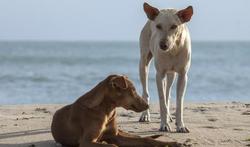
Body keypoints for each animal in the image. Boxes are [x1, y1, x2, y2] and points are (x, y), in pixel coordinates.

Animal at [51, 75, 182, 146]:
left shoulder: (115, 136)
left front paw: (172, 143)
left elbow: (146, 140)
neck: (107, 110)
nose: (148, 105)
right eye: (133, 90)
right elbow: (112, 145)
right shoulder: (86, 141)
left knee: (141, 137)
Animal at [139, 2, 193, 133]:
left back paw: (170, 117)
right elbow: (162, 100)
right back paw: (145, 115)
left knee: (168, 91)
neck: (173, 50)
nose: (163, 45)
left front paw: (181, 125)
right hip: (143, 62)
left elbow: (179, 102)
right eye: (158, 26)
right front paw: (164, 125)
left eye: (174, 26)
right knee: (146, 90)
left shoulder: (183, 75)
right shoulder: (160, 74)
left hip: (171, 74)